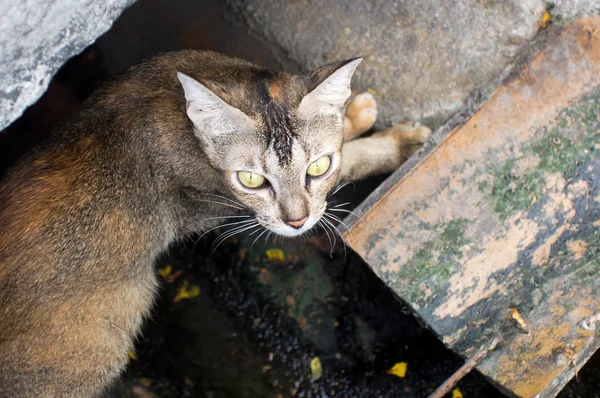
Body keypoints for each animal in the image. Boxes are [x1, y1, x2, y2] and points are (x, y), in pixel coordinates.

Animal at [0, 50, 432, 398]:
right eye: (251, 180)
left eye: (317, 167)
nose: (296, 221)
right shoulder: (225, 204)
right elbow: (355, 160)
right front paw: (396, 145)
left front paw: (351, 114)